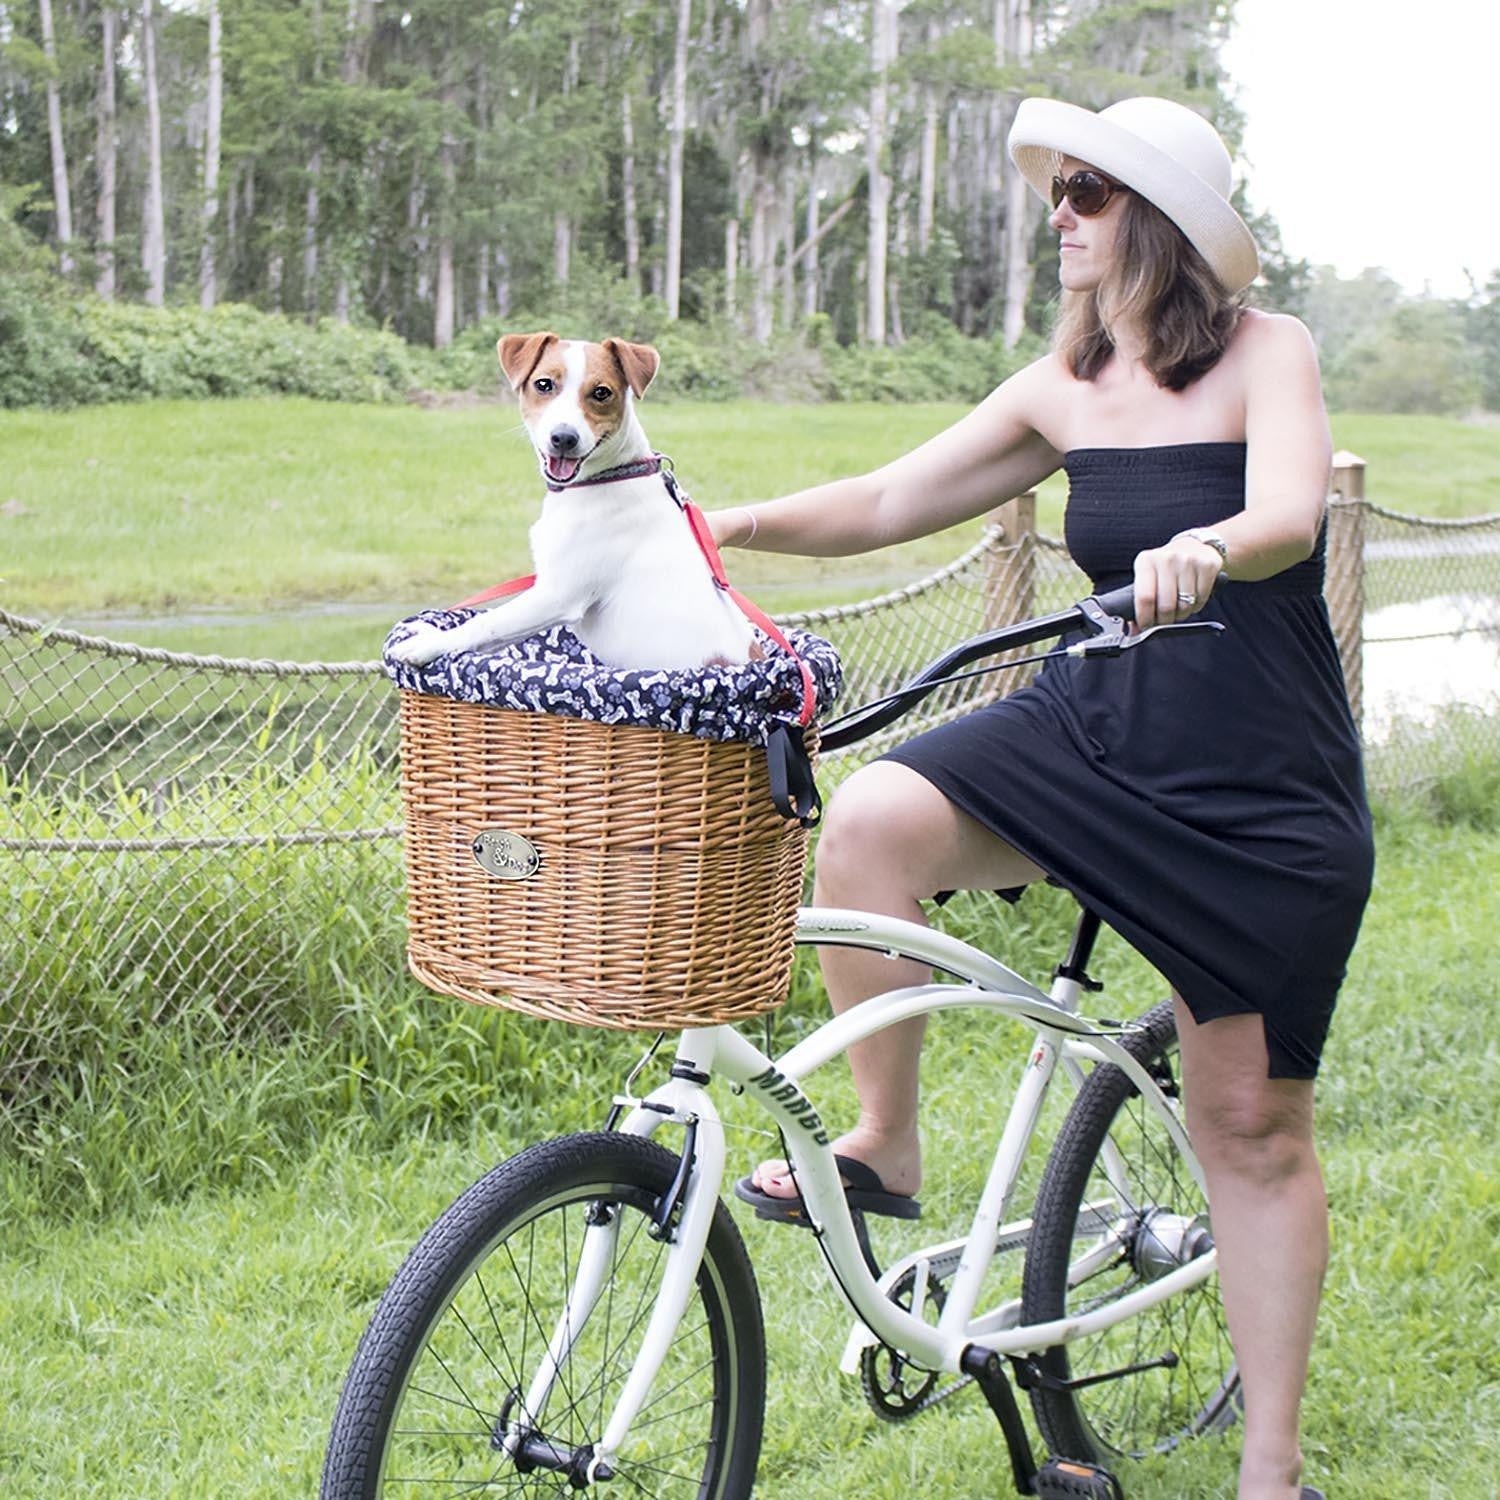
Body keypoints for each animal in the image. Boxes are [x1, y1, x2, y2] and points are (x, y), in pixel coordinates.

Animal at [387, 337, 762, 678]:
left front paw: (429, 644)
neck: (605, 479)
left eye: (602, 392)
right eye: (543, 384)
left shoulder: (556, 595)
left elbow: (487, 623)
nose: (564, 438)